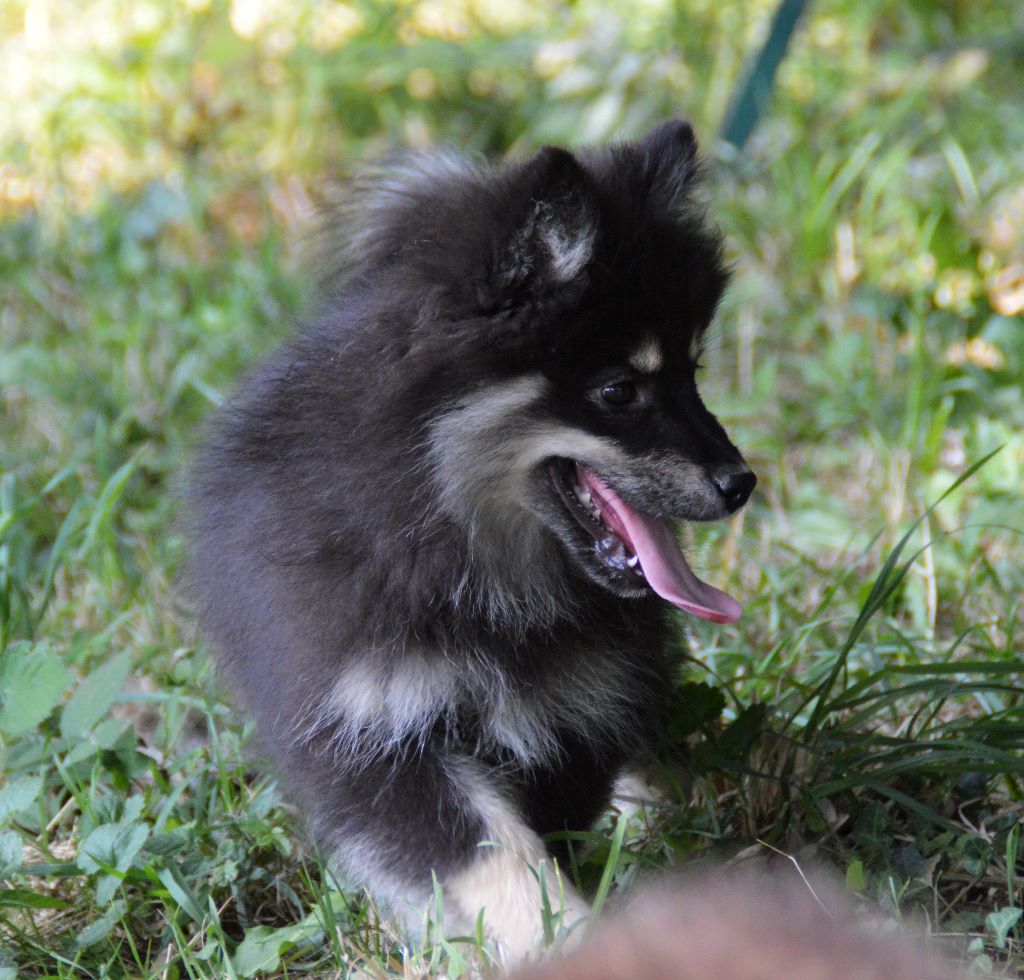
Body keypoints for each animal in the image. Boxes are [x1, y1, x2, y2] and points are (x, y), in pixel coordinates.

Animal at [188, 116, 757, 954]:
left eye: (694, 372)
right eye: (619, 390)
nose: (740, 482)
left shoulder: (577, 704)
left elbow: (552, 821)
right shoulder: (373, 727)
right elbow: (489, 852)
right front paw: (554, 937)